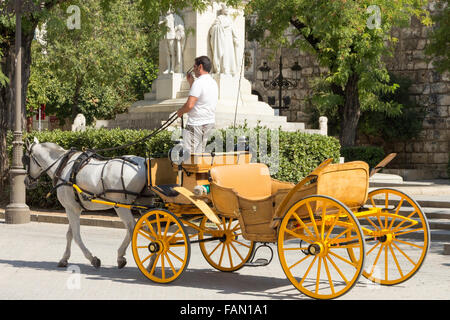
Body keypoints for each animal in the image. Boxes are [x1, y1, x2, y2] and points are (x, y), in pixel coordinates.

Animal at [24, 136, 149, 268]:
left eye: (25, 159)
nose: (26, 181)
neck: (63, 165)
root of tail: (143, 163)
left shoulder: (71, 209)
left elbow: (76, 236)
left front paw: (92, 258)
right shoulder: (74, 208)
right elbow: (70, 234)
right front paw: (64, 258)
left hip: (121, 206)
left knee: (132, 228)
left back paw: (121, 256)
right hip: (143, 203)